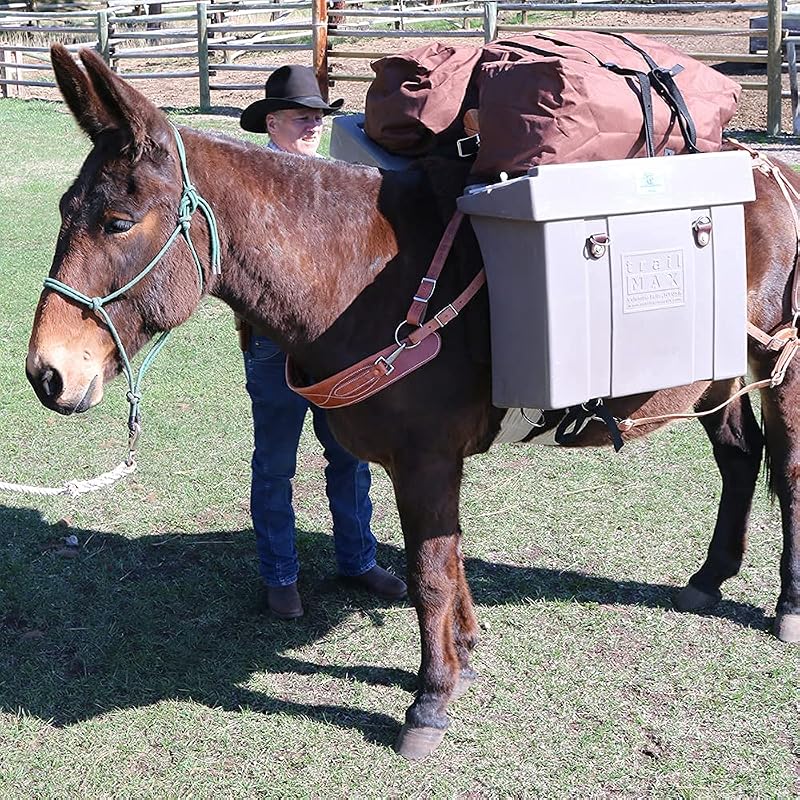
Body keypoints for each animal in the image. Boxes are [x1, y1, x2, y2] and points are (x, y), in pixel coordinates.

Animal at [26, 44, 800, 760]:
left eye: (118, 222)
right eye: (64, 210)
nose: (46, 373)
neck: (363, 273)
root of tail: (770, 169)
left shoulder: (426, 460)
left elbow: (429, 573)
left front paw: (430, 700)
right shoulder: (429, 463)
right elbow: (447, 556)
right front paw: (464, 651)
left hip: (778, 366)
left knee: (786, 473)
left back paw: (786, 606)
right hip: (714, 378)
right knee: (740, 458)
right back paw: (708, 579)